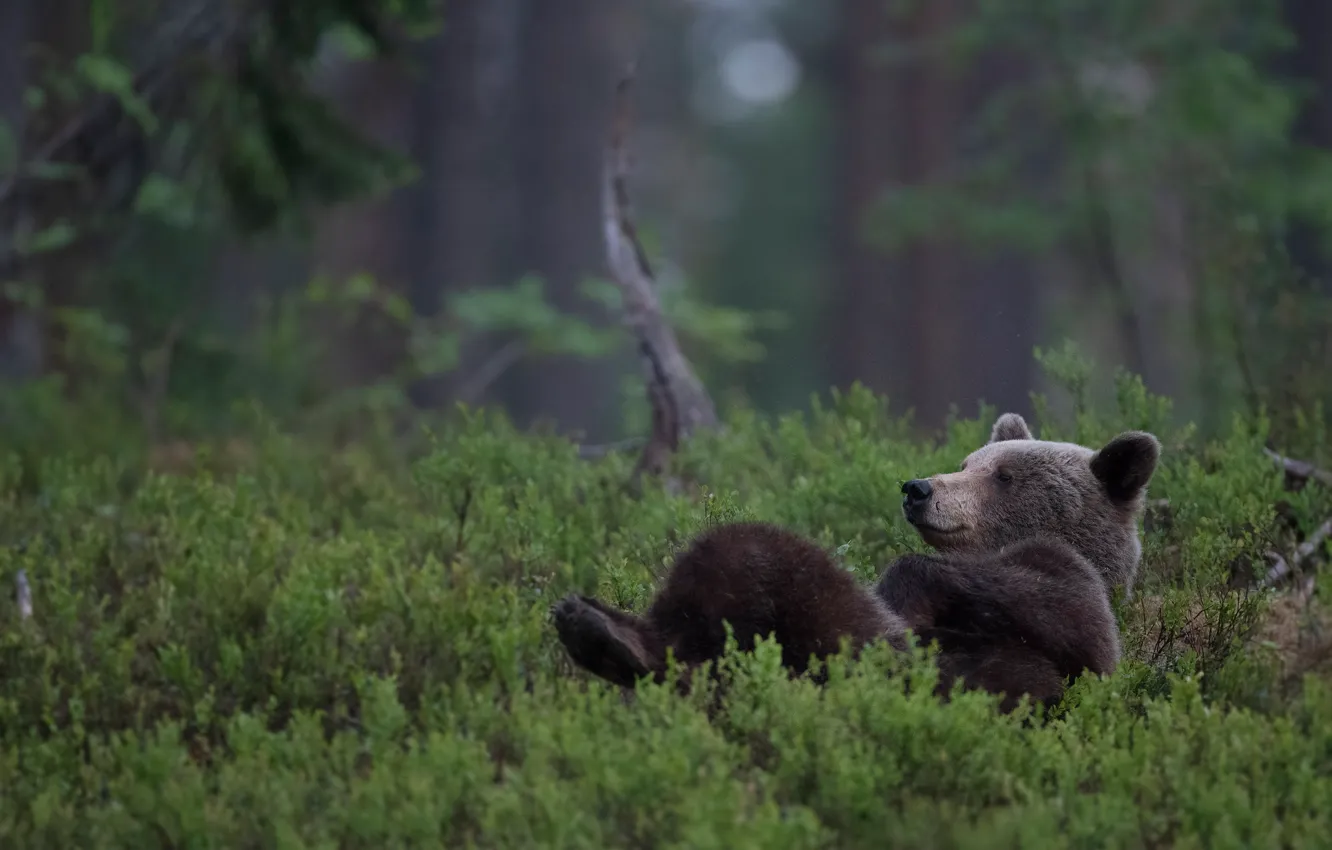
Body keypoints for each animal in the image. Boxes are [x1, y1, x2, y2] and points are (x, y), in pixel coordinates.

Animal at [548, 413, 1156, 714]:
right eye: (967, 462)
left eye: (1003, 476)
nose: (919, 488)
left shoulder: (1074, 607)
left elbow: (1063, 611)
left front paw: (906, 587)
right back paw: (589, 623)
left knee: (748, 554)